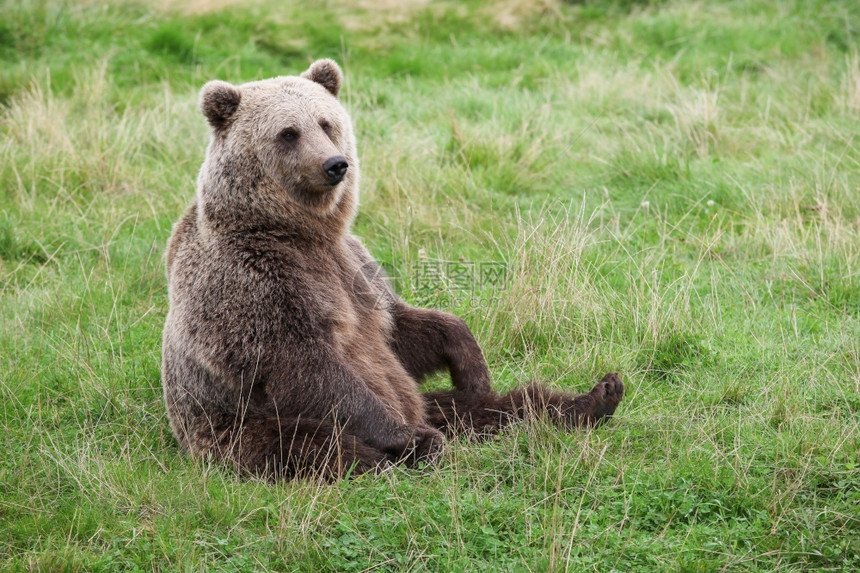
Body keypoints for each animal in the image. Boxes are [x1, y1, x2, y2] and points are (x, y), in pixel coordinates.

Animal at [161, 59, 624, 478]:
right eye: (288, 132)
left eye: (326, 123)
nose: (335, 164)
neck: (298, 231)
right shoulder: (253, 281)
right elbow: (306, 366)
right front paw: (405, 438)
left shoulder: (355, 265)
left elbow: (400, 328)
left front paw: (471, 365)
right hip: (233, 429)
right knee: (312, 444)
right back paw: (406, 449)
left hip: (430, 402)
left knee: (501, 406)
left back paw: (596, 397)